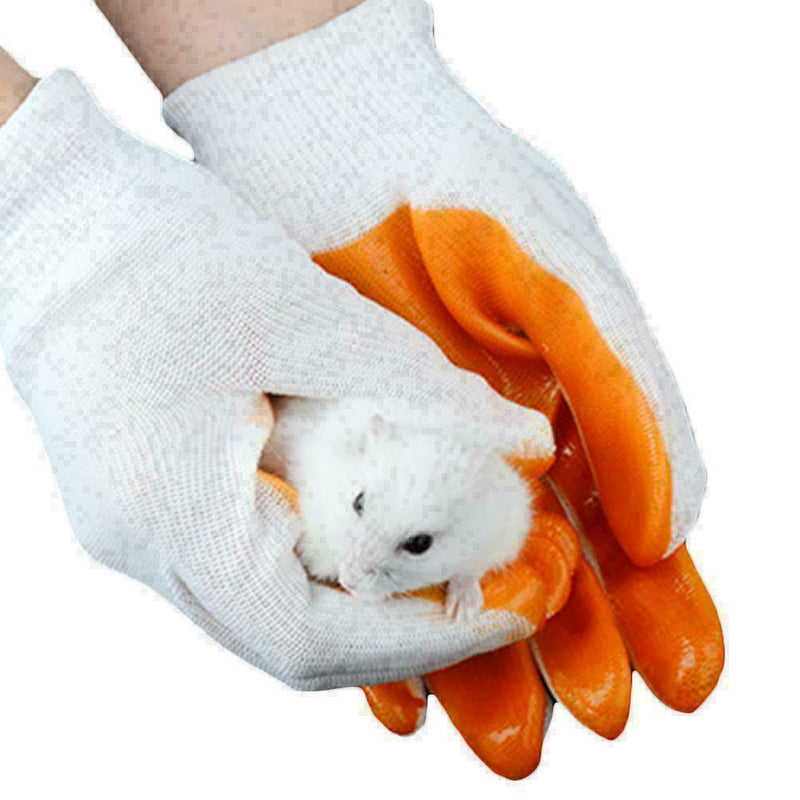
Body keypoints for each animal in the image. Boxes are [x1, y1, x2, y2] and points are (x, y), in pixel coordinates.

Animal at [262, 396, 551, 621]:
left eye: (420, 544)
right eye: (358, 502)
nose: (346, 581)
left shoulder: (503, 533)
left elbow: (469, 571)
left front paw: (462, 613)